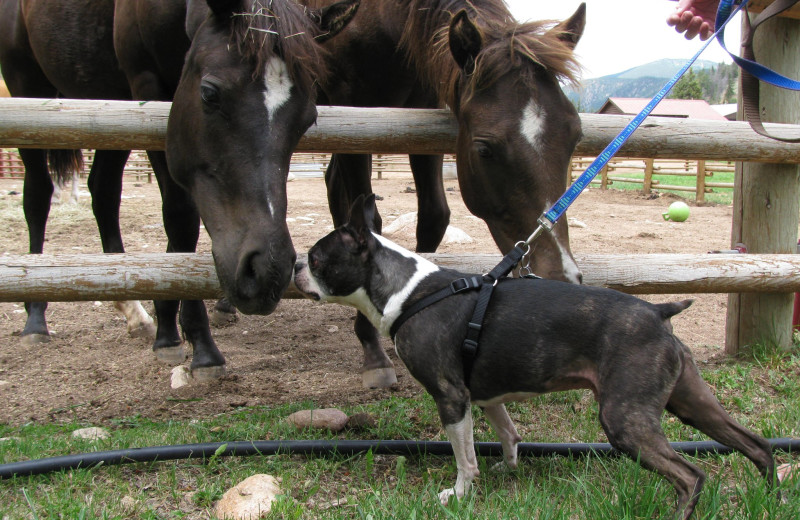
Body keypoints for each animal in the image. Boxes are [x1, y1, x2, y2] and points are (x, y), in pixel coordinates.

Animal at [0, 0, 356, 380]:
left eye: (308, 117)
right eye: (209, 93)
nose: (266, 271)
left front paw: (168, 327)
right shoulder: (148, 85)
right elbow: (181, 219)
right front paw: (200, 345)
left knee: (104, 192)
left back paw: (134, 313)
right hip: (27, 88)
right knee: (38, 196)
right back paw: (35, 318)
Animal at [294, 195, 776, 520]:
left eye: (316, 258)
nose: (296, 266)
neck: (406, 290)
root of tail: (658, 312)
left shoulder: (451, 397)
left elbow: (464, 457)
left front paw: (460, 494)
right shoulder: (483, 397)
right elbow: (507, 434)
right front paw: (506, 470)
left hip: (625, 419)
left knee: (691, 475)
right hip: (690, 401)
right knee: (756, 444)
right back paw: (774, 496)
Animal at [304, 0, 584, 386]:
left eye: (576, 136)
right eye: (484, 149)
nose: (560, 278)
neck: (386, 22)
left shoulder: (426, 110)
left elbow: (435, 216)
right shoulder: (353, 110)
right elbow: (368, 220)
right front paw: (373, 351)